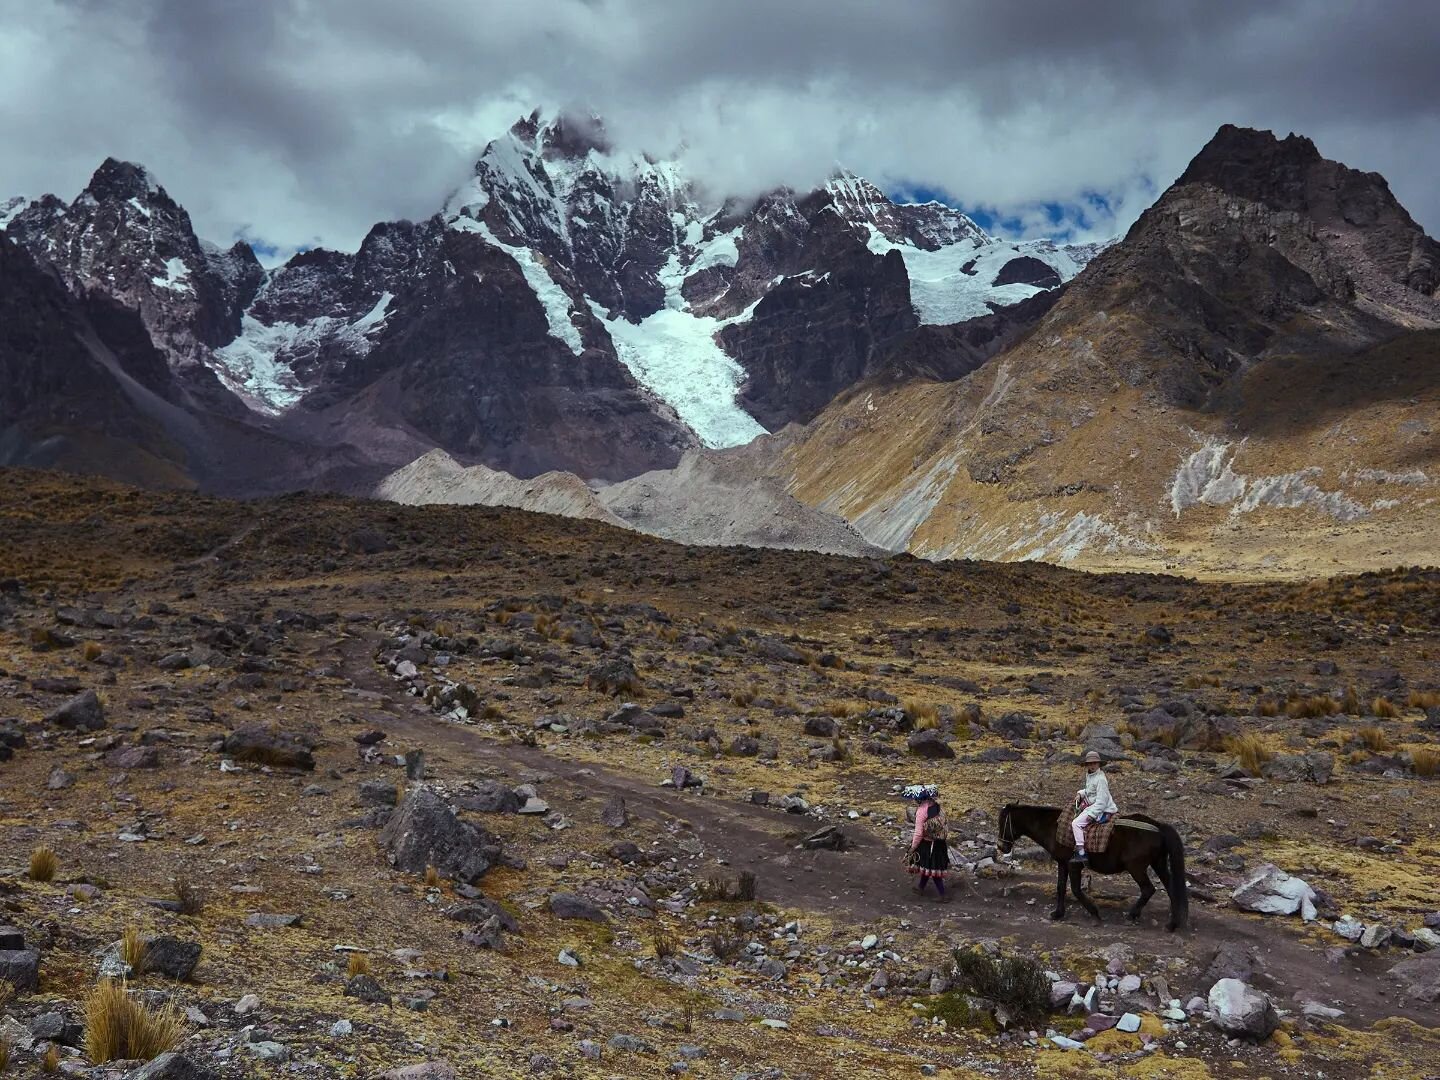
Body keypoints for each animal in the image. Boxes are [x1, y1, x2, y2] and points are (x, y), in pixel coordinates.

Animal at [996, 806, 1186, 933]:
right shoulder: (1063, 863)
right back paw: (1172, 924)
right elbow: (1061, 887)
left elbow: (1075, 889)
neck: (1053, 827)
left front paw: (1095, 913)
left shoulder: (1073, 865)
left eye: (1003, 822)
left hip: (1136, 868)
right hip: (1158, 864)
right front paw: (1058, 913)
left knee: (1148, 889)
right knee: (1172, 889)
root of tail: (1158, 827)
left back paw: (1132, 915)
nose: (1001, 847)